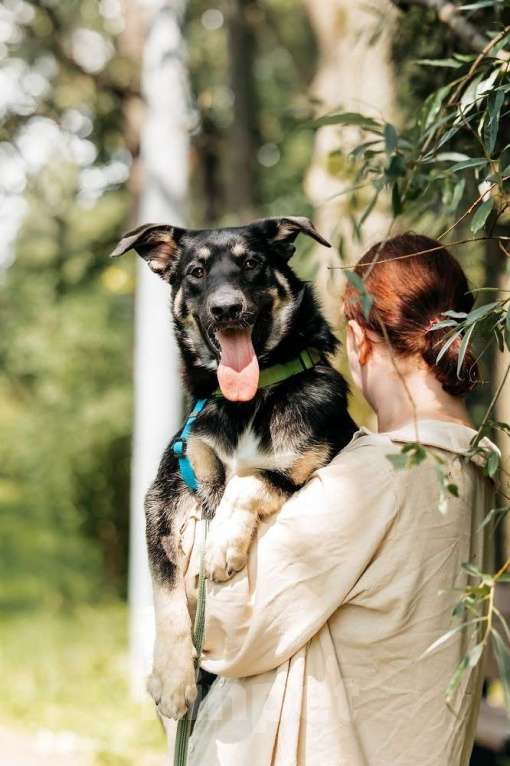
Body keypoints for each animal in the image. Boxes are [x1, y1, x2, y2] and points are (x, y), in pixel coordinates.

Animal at [109, 216, 356, 720]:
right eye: (197, 272)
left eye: (252, 263)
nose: (227, 309)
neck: (248, 400)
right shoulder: (166, 491)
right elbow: (165, 592)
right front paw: (172, 677)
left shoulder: (310, 461)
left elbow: (248, 481)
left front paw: (222, 542)